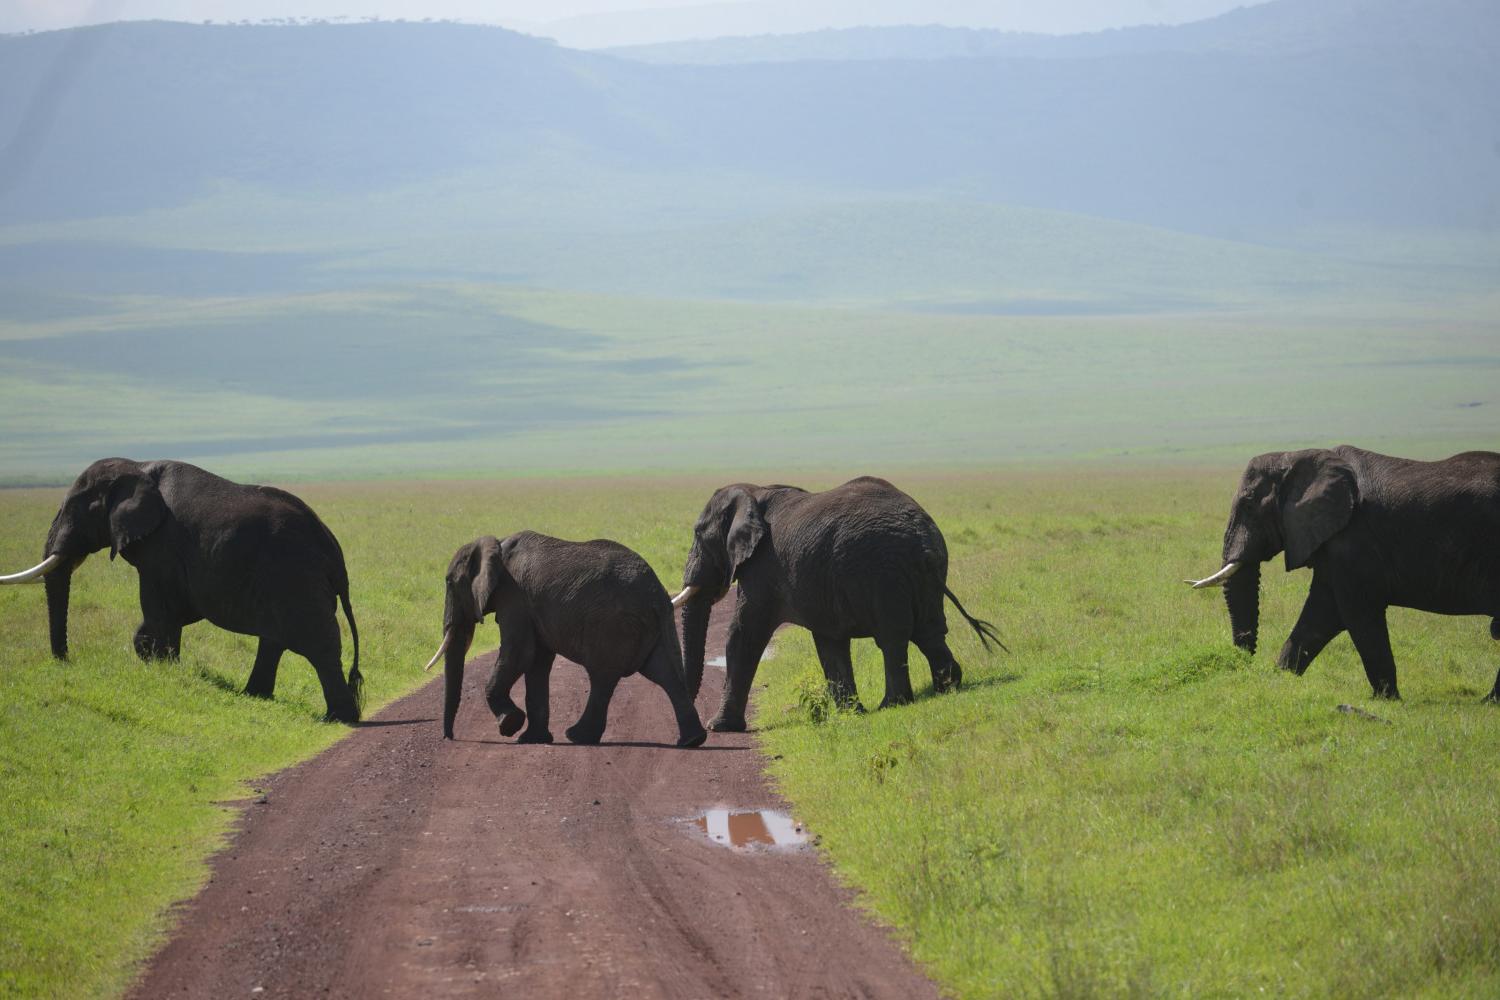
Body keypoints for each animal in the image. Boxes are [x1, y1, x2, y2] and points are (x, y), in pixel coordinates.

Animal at [0, 458, 363, 722]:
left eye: (75, 507)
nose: (65, 661)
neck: (138, 467)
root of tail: (335, 553)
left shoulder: (162, 545)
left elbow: (159, 604)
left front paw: (161, 665)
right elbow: (179, 610)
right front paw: (159, 660)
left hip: (297, 579)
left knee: (319, 647)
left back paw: (338, 718)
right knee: (273, 642)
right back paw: (253, 696)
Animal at [420, 536, 705, 746]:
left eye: (449, 582)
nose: (450, 737)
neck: (497, 544)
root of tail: (656, 592)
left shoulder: (514, 596)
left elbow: (520, 654)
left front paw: (510, 725)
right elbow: (537, 662)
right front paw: (532, 739)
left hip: (614, 626)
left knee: (603, 678)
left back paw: (577, 736)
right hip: (652, 625)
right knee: (665, 674)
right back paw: (692, 741)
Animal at [675, 473, 1002, 731]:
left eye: (698, 534)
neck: (754, 491)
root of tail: (921, 538)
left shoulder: (762, 567)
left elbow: (744, 634)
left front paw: (719, 727)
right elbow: (829, 644)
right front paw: (850, 714)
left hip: (883, 572)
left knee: (893, 638)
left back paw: (891, 704)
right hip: (925, 572)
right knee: (930, 632)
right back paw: (947, 687)